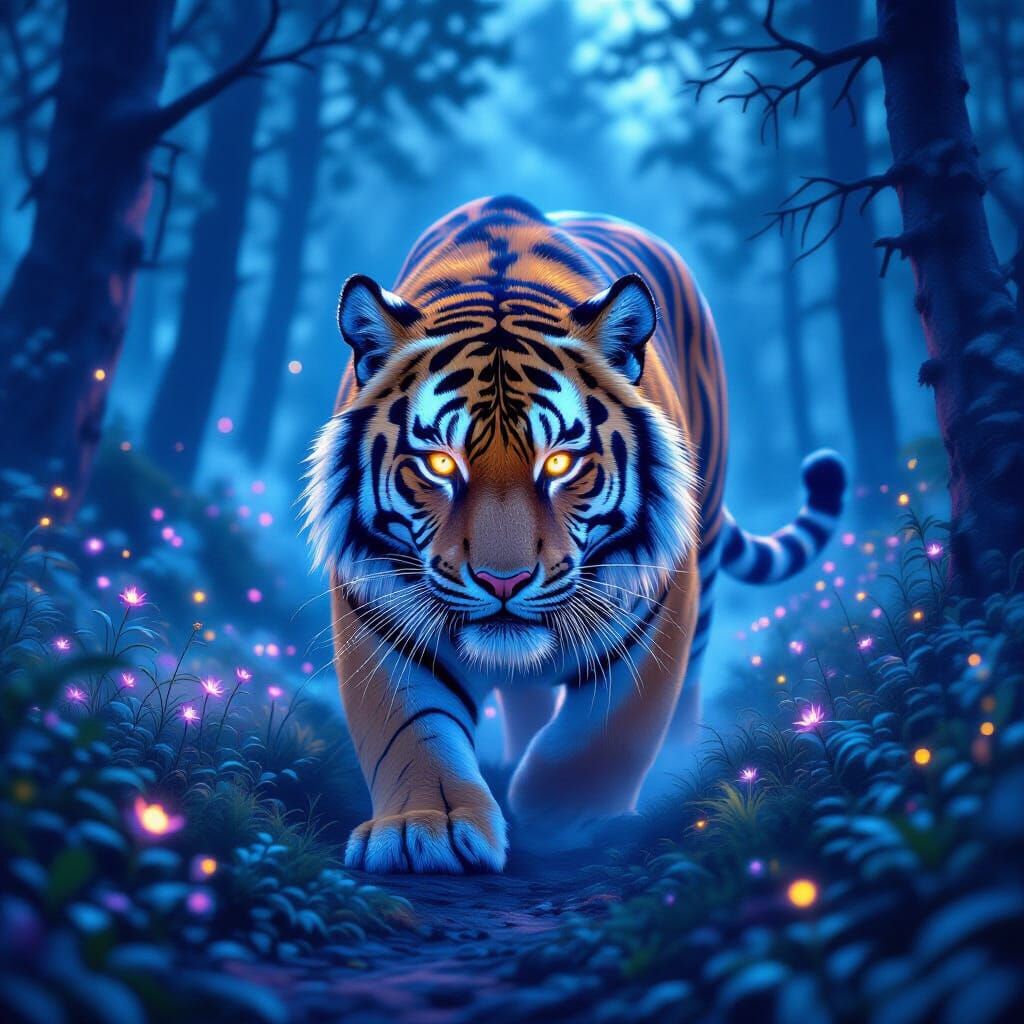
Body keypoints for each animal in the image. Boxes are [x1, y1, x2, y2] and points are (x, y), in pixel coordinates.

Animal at [303, 195, 845, 874]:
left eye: (559, 462)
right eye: (442, 465)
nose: (502, 581)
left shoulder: (661, 599)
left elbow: (606, 729)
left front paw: (564, 817)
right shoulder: (377, 605)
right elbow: (411, 730)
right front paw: (423, 830)